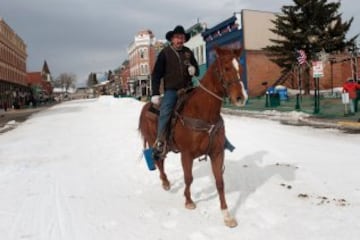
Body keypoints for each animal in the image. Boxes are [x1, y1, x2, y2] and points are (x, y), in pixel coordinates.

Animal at [138, 45, 248, 227]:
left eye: (240, 68)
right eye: (226, 68)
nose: (241, 98)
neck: (203, 113)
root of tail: (146, 106)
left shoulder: (217, 153)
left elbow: (220, 182)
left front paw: (226, 215)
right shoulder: (187, 154)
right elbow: (188, 178)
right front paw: (188, 201)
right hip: (156, 142)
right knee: (159, 161)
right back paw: (165, 182)